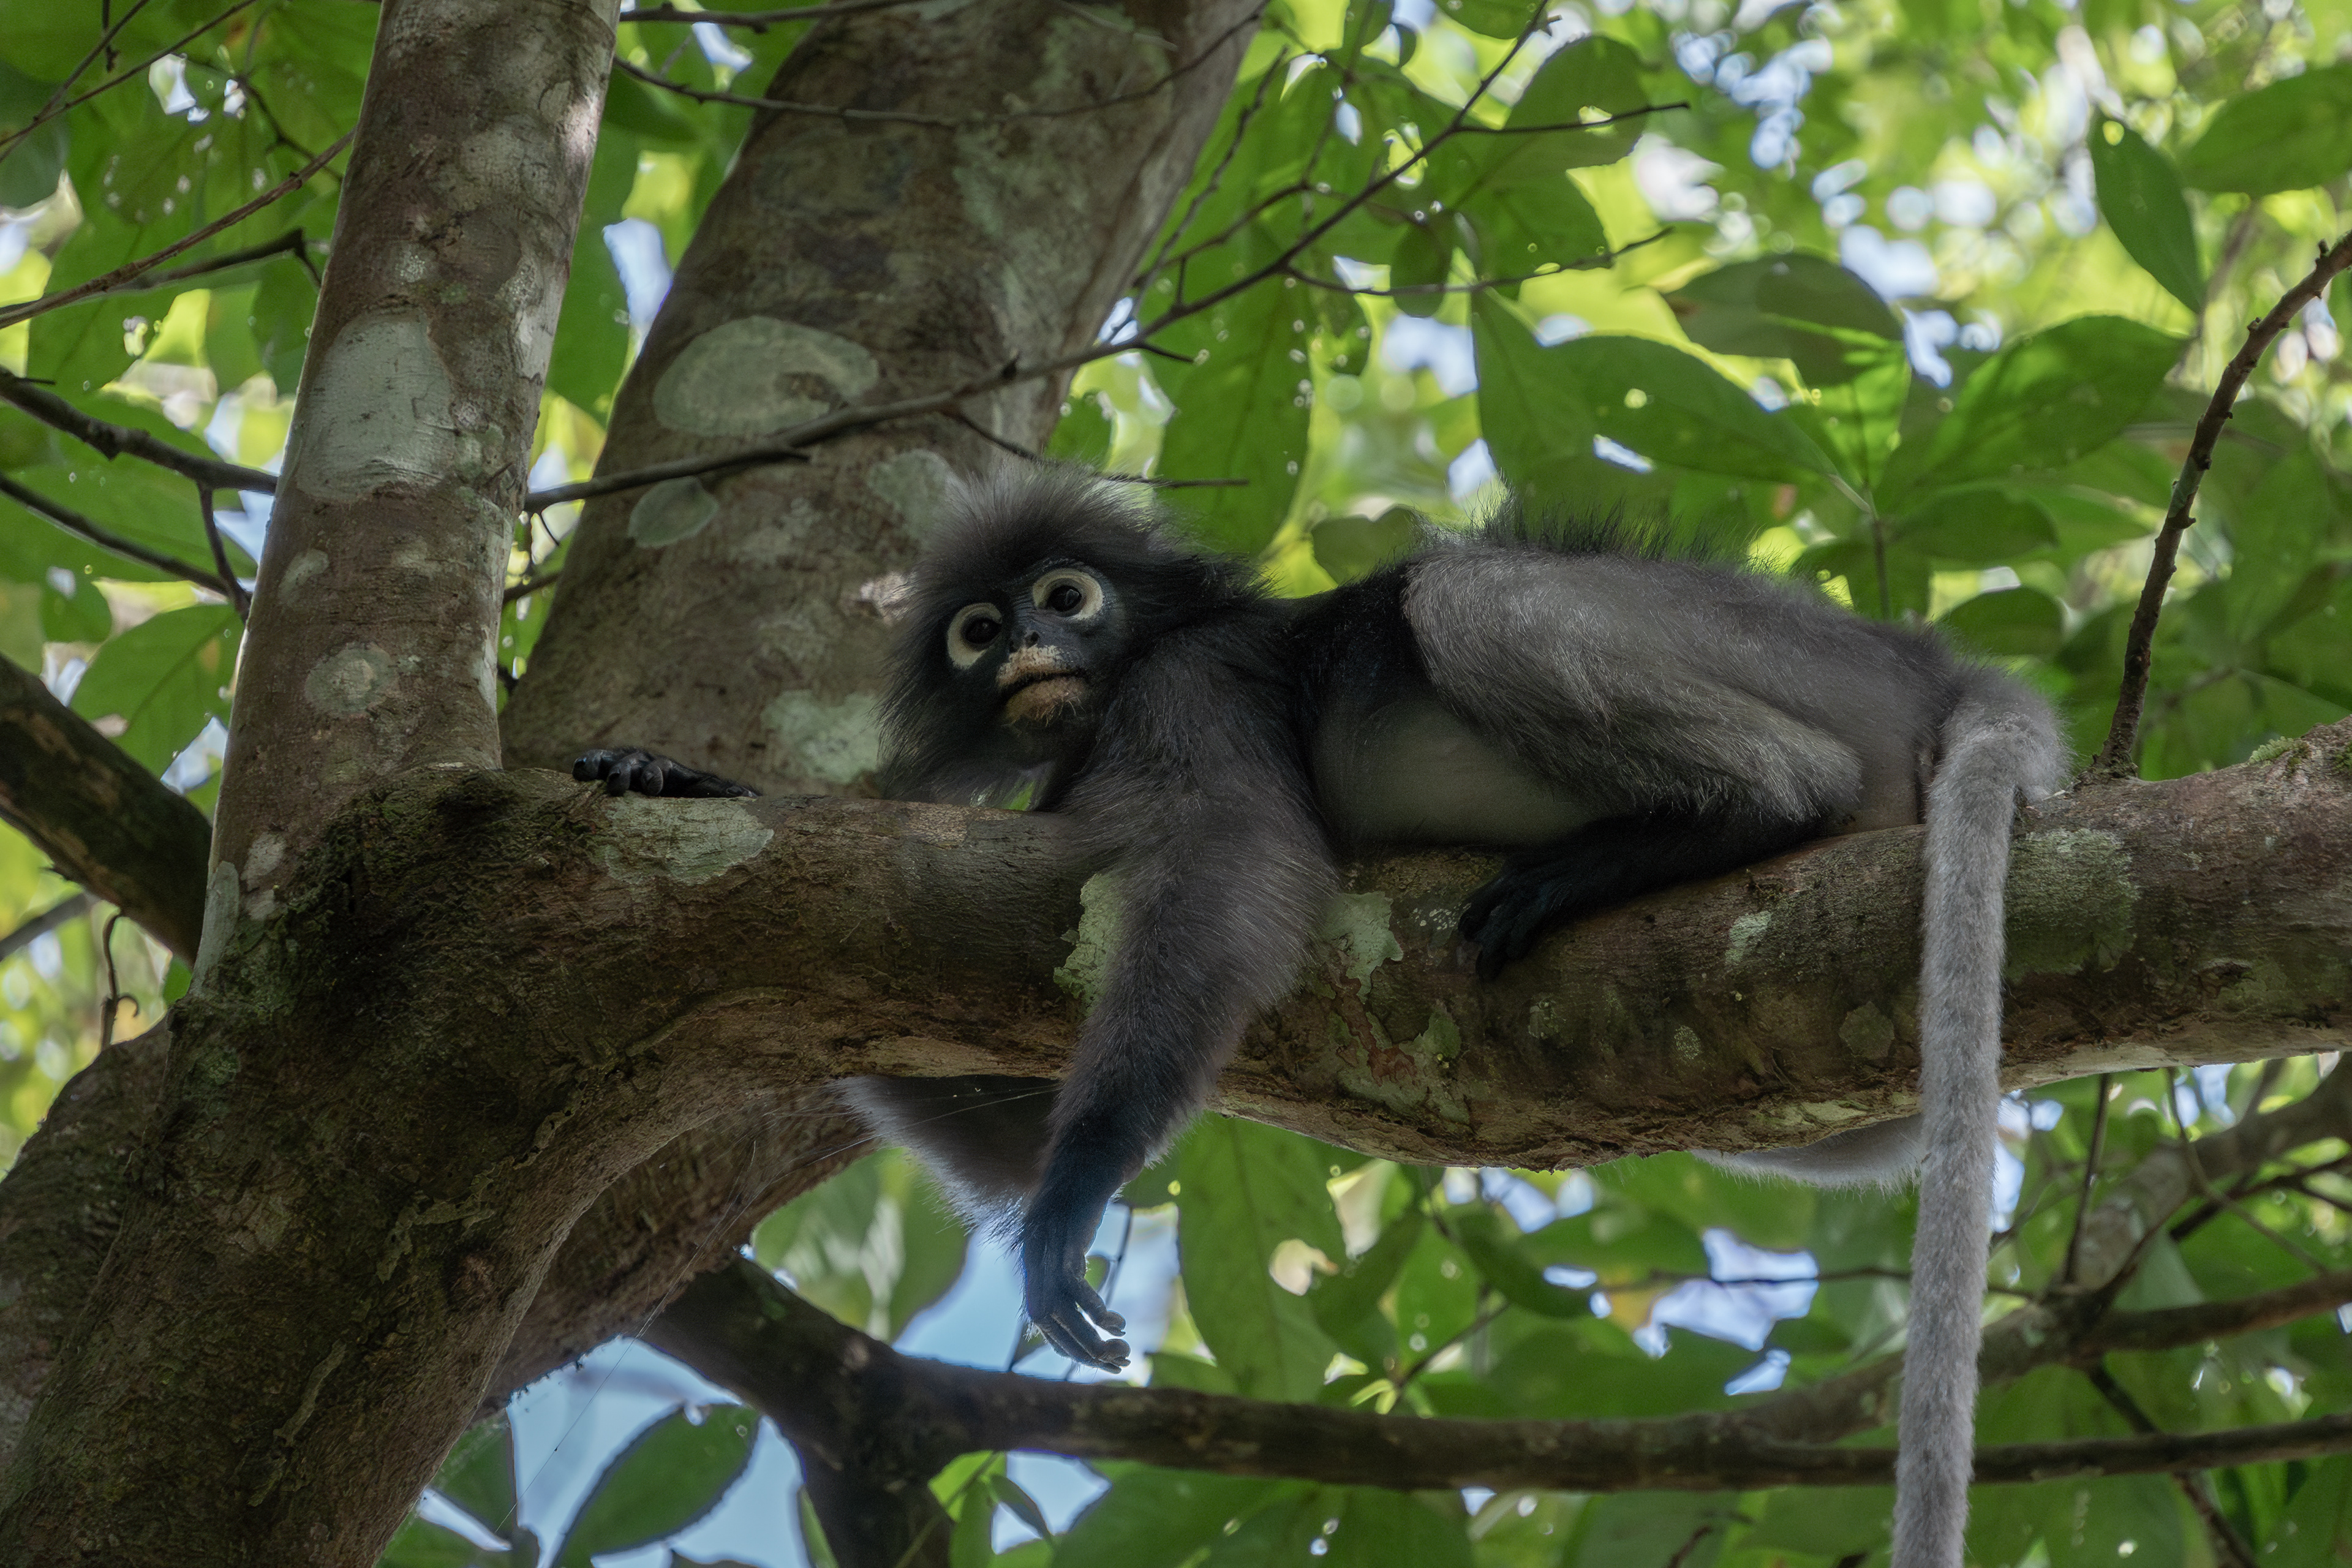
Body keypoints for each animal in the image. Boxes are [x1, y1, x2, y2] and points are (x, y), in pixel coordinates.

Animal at [578, 468, 2062, 1568]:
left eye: (1066, 597)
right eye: (979, 631)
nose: (1037, 646)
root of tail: (1936, 667)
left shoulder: (1189, 690)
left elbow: (1233, 874)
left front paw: (1070, 1202)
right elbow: (975, 1111)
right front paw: (683, 781)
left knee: (1470, 588)